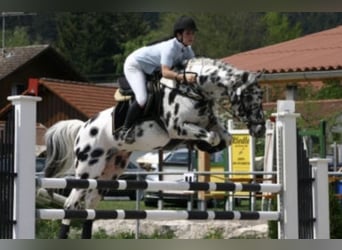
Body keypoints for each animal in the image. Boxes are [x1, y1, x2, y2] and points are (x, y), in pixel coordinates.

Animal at [43, 56, 268, 238]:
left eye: (261, 96)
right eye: (249, 97)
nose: (260, 129)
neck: (193, 89)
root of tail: (83, 127)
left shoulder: (208, 124)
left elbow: (225, 137)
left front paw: (208, 146)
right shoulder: (178, 127)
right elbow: (211, 137)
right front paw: (206, 144)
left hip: (110, 171)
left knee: (90, 205)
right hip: (88, 169)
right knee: (71, 204)